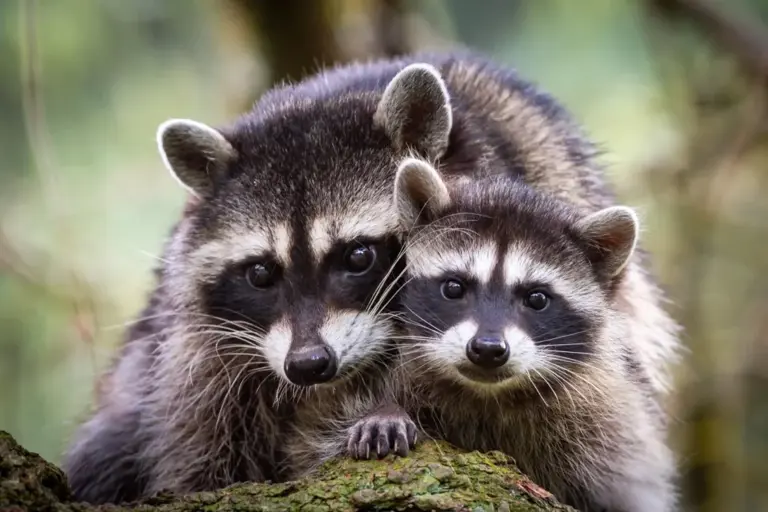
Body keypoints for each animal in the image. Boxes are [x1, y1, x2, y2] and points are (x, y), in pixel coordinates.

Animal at [347, 161, 678, 512]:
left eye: (537, 298)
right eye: (454, 287)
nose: (487, 348)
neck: (487, 395)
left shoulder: (610, 426)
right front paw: (387, 411)